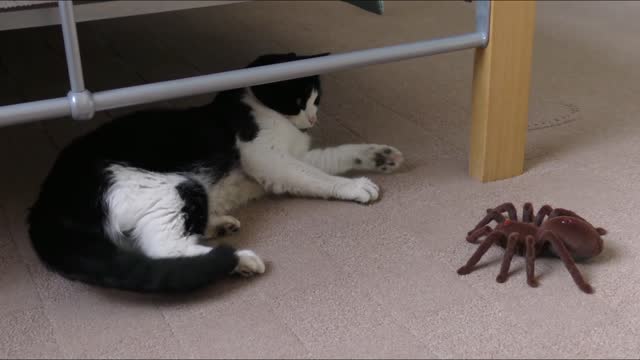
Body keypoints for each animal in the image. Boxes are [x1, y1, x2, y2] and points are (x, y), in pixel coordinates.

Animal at [28, 52, 404, 292]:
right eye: (298, 101)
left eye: (317, 100)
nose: (312, 119)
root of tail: (45, 201)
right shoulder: (269, 159)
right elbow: (318, 177)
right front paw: (356, 187)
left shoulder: (297, 155)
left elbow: (334, 157)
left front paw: (380, 156)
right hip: (171, 187)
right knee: (163, 249)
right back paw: (239, 260)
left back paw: (218, 224)